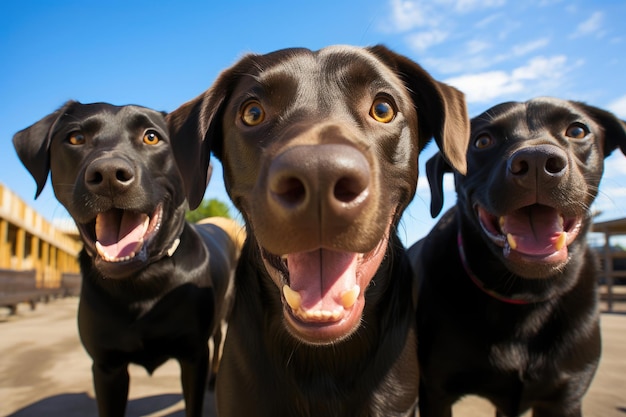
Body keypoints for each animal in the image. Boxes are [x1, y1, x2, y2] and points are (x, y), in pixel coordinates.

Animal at [15, 101, 239, 416]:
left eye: (152, 137)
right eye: (75, 138)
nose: (108, 174)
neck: (141, 282)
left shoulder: (193, 357)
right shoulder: (107, 368)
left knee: (219, 340)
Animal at [410, 98, 624, 416]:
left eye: (577, 130)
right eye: (482, 141)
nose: (537, 162)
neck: (525, 294)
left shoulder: (565, 397)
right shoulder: (436, 393)